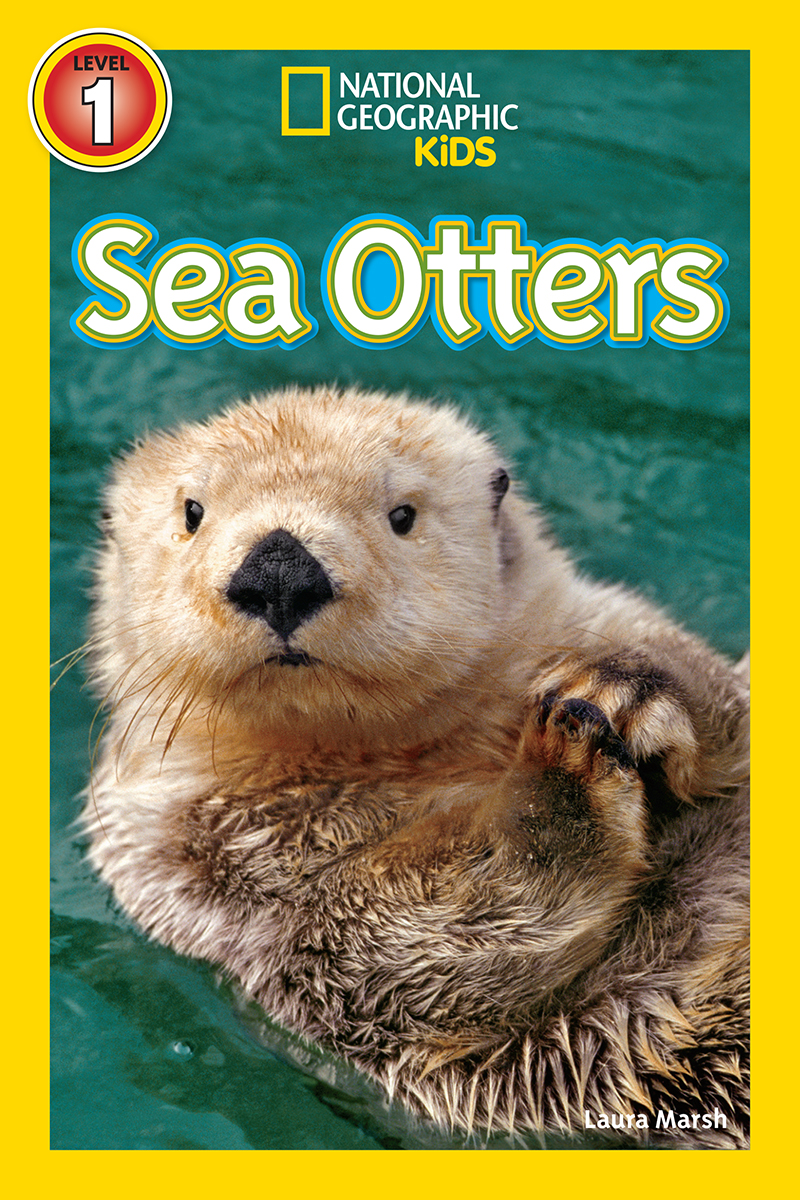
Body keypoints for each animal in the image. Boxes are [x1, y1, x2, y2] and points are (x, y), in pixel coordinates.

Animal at [83, 386, 749, 1148]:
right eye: (192, 512)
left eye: (402, 514)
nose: (278, 571)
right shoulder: (205, 867)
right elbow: (408, 934)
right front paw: (562, 769)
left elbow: (727, 699)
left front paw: (625, 686)